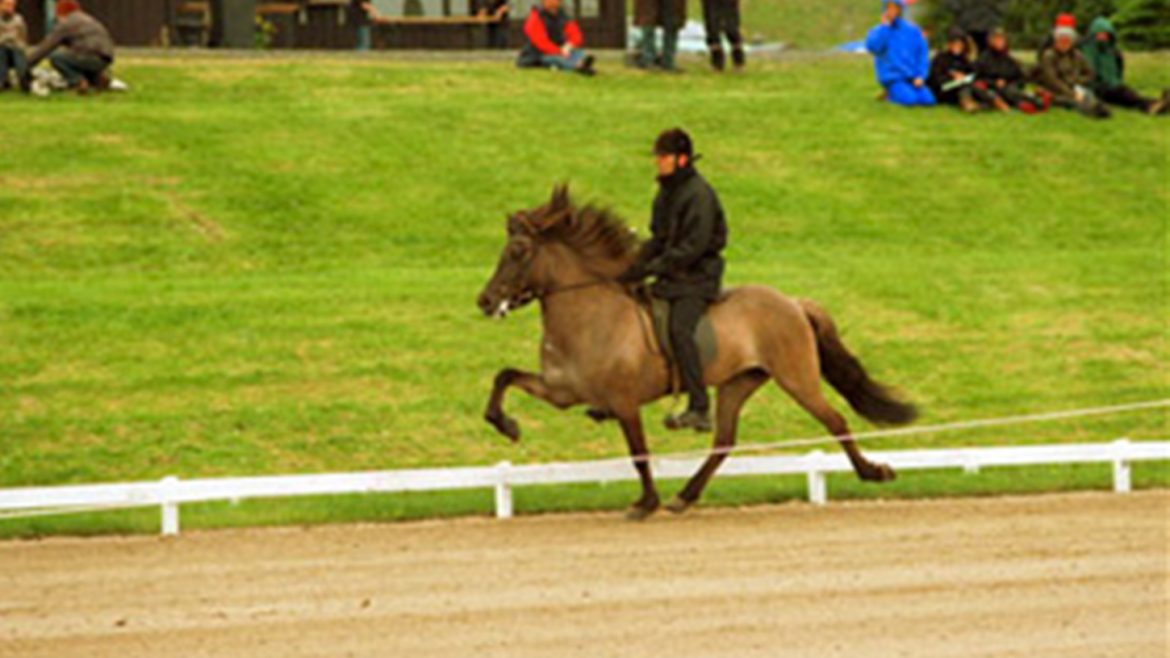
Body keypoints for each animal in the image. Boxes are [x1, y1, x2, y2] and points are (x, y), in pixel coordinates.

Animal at [475, 184, 912, 517]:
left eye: (517, 251)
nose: (486, 301)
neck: (589, 316)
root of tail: (792, 302)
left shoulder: (624, 402)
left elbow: (638, 452)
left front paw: (645, 502)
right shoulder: (561, 391)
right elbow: (504, 376)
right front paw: (505, 424)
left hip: (796, 376)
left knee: (835, 419)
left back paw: (873, 472)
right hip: (739, 382)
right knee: (724, 440)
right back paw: (684, 496)